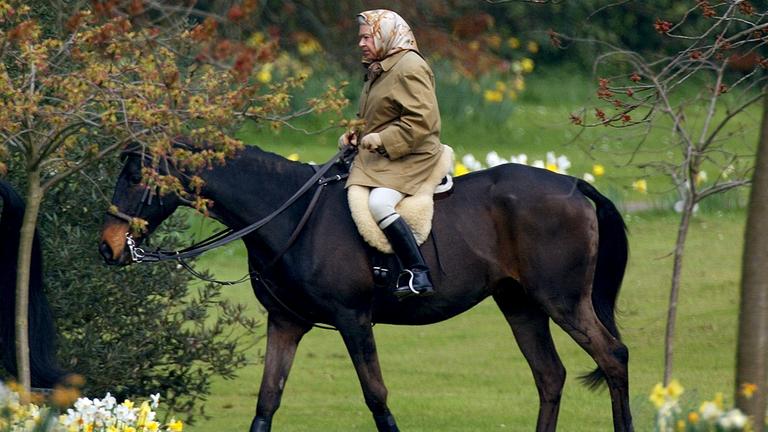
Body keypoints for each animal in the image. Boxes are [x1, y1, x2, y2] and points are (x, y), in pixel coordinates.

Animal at [99, 144, 633, 432]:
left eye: (135, 175)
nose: (107, 247)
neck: (291, 213)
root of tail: (572, 185)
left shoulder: (353, 320)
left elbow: (376, 396)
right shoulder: (286, 323)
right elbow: (267, 401)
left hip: (562, 301)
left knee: (612, 357)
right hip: (520, 304)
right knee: (550, 376)